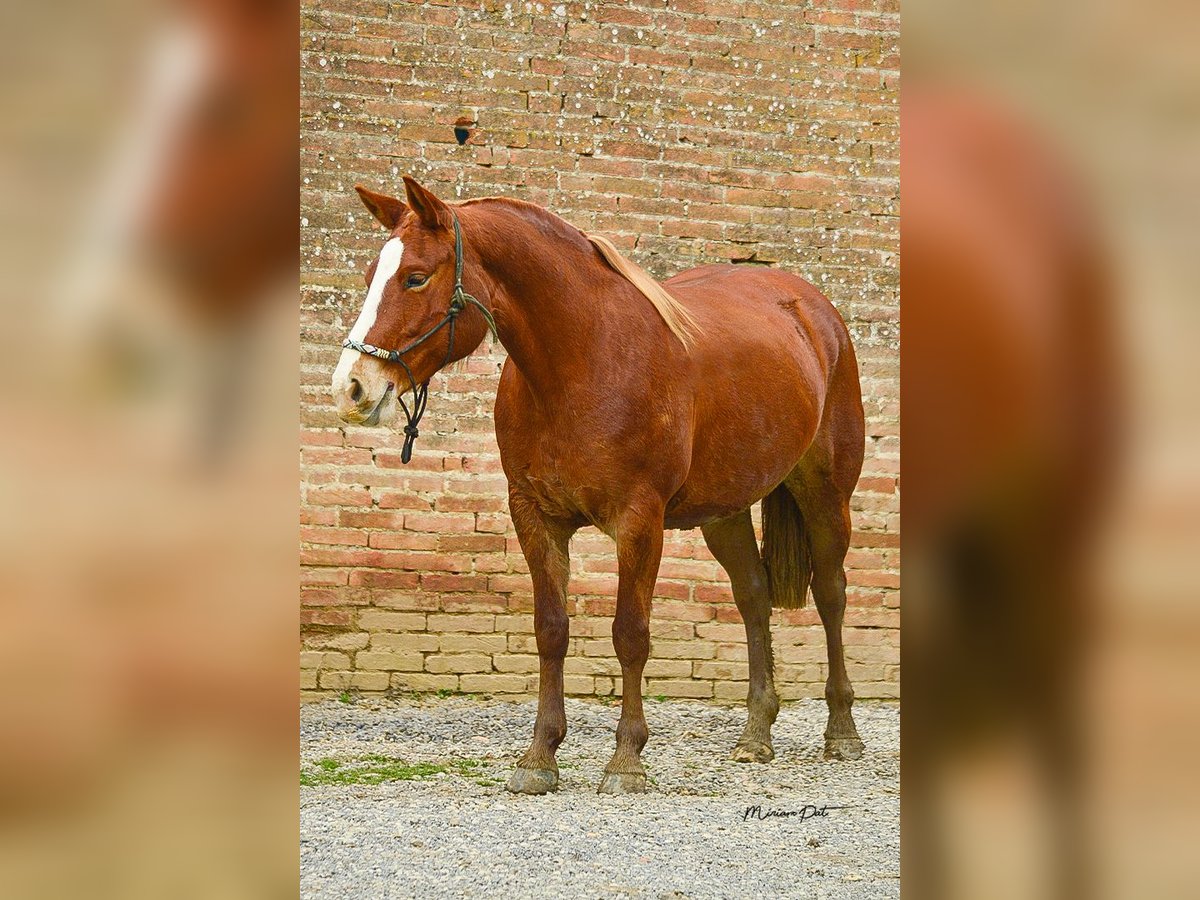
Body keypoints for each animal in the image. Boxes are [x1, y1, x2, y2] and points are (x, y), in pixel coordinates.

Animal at [333, 176, 868, 796]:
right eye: (370, 275)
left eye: (416, 277)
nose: (350, 388)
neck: (583, 362)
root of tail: (814, 309)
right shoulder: (534, 516)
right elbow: (551, 630)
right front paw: (539, 756)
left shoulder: (640, 522)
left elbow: (630, 634)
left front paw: (627, 760)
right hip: (724, 510)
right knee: (753, 595)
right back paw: (756, 733)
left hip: (826, 495)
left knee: (831, 593)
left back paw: (842, 731)